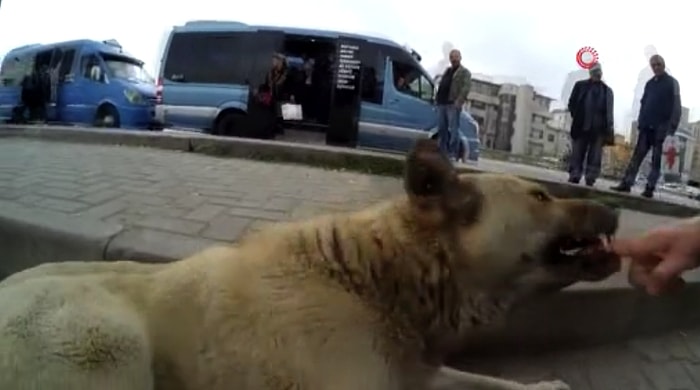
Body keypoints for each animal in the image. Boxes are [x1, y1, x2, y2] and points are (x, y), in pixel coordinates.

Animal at [0, 140, 620, 390]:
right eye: (540, 196)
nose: (614, 208)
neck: (377, 278)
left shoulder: (415, 375)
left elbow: (489, 381)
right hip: (108, 342)